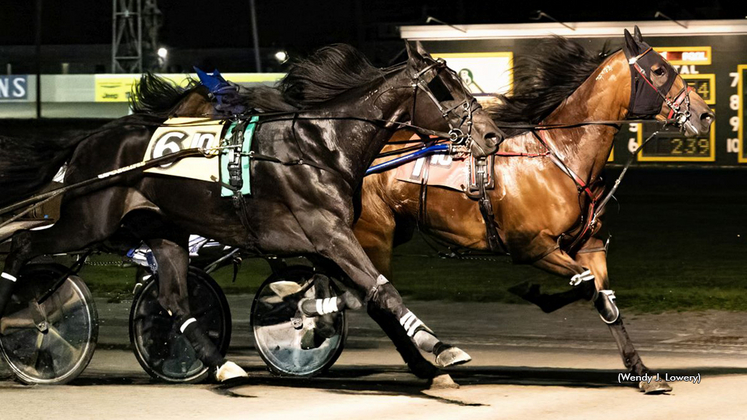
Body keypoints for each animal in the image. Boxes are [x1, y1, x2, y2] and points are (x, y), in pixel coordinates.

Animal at [1, 41, 502, 380]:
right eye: (442, 88)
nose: (493, 135)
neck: (318, 148)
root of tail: (88, 140)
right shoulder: (329, 234)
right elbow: (383, 290)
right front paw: (442, 347)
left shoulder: (322, 243)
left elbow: (368, 294)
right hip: (89, 220)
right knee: (25, 243)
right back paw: (19, 311)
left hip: (163, 229)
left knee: (173, 297)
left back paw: (222, 366)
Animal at [354, 27, 716, 392]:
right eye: (659, 70)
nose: (705, 115)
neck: (561, 156)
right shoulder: (534, 247)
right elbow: (589, 289)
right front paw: (535, 293)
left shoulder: (590, 246)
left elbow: (604, 297)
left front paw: (642, 372)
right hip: (375, 236)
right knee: (379, 301)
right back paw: (428, 367)